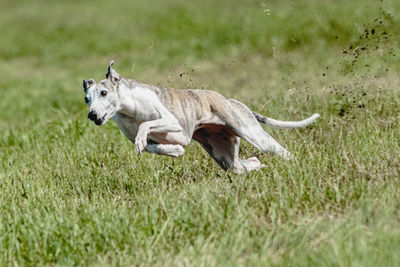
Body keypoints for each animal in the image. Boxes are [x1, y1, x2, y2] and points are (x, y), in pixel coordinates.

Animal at [83, 60, 320, 174]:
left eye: (103, 93)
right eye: (87, 99)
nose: (92, 115)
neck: (128, 108)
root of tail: (230, 100)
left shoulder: (172, 122)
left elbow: (147, 125)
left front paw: (146, 139)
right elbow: (152, 146)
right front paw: (174, 150)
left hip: (254, 134)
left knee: (281, 151)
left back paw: (298, 165)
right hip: (224, 154)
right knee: (244, 164)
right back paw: (256, 167)